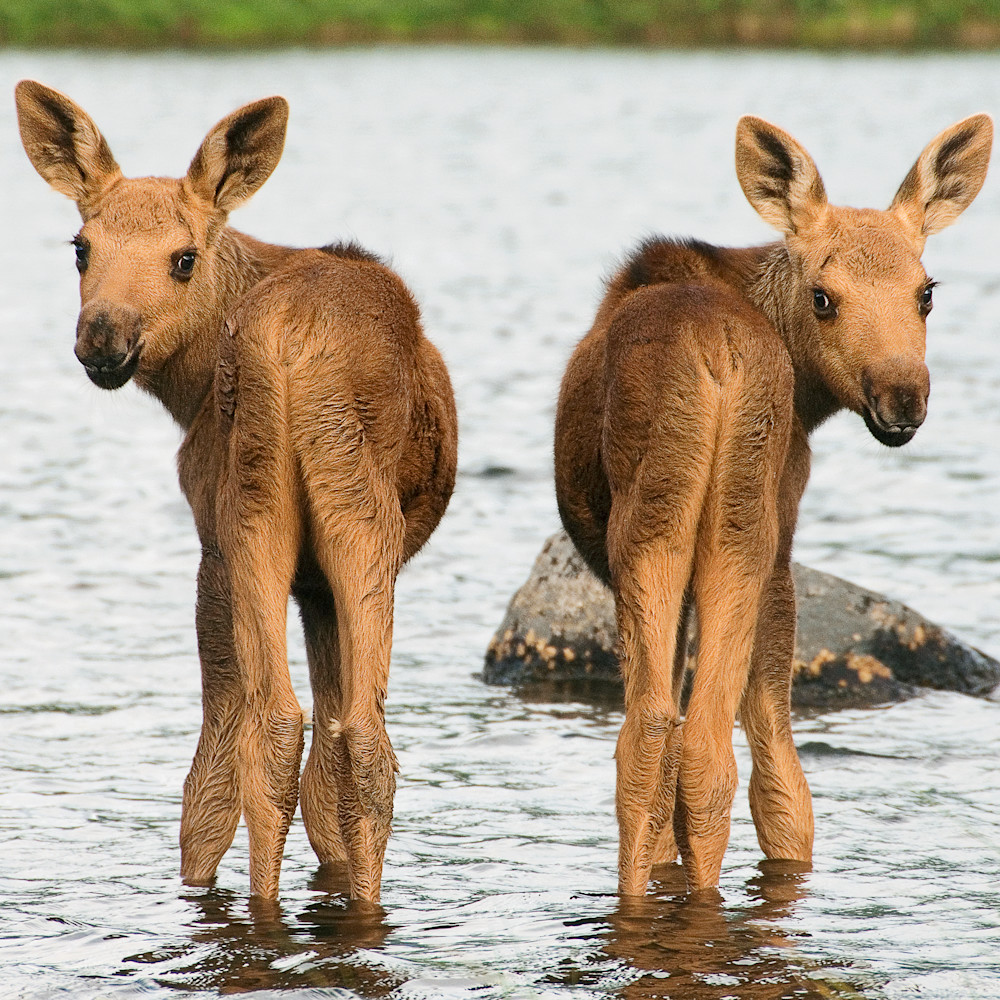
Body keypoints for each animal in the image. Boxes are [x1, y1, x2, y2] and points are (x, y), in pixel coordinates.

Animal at [15, 80, 458, 903]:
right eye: (81, 247)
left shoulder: (209, 535)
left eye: (183, 257)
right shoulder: (303, 583)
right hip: (326, 517)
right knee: (337, 732)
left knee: (285, 728)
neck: (186, 390)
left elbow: (208, 779)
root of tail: (289, 342)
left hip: (264, 515)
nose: (103, 338)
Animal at [554, 113, 992, 897]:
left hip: (661, 524)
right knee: (703, 747)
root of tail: (718, 354)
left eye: (926, 292)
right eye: (823, 295)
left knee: (659, 735)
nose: (902, 396)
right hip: (737, 526)